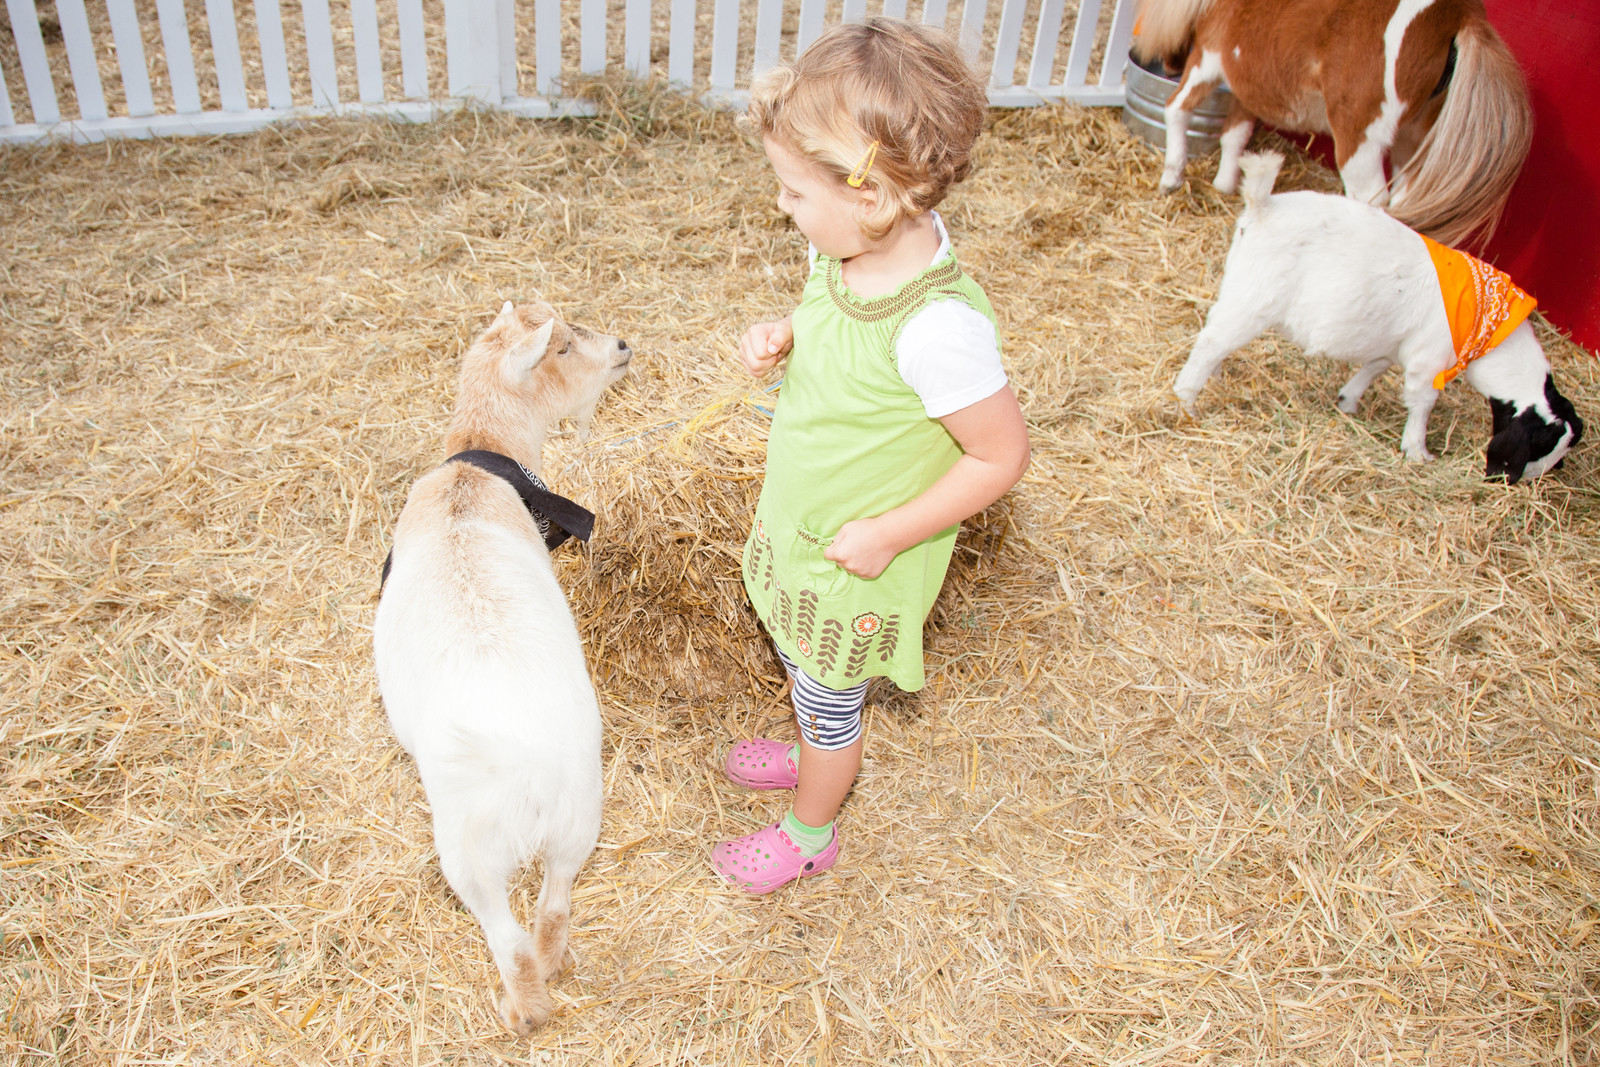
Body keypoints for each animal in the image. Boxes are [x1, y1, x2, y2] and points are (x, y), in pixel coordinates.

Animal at [371, 300, 627, 1036]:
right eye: (562, 346)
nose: (622, 346)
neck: (471, 474)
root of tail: (523, 763)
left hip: (469, 852)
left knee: (508, 938)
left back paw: (521, 1011)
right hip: (578, 819)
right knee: (553, 909)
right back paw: (554, 967)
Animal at [1132, 1, 1529, 246]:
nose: (1146, 56)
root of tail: (1458, 13)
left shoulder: (1208, 57)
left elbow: (1176, 109)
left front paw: (1171, 178)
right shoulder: (1247, 81)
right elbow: (1235, 136)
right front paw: (1226, 184)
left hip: (1359, 138)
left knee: (1373, 201)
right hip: (1414, 139)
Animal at [1171, 151, 1580, 483]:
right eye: (1539, 447)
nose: (1520, 483)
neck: (1489, 326)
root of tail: (1262, 204)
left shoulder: (1394, 347)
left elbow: (1374, 366)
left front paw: (1348, 401)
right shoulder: (1428, 362)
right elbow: (1422, 403)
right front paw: (1418, 452)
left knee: (1216, 332)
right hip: (1255, 300)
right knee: (1211, 341)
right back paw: (1186, 400)